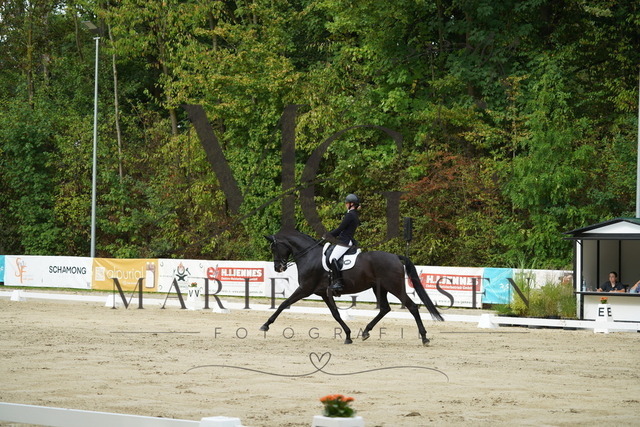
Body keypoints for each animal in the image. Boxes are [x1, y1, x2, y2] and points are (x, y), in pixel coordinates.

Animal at [261, 230, 444, 345]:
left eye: (274, 248)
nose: (278, 268)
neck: (309, 256)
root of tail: (395, 257)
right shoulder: (323, 293)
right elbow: (335, 314)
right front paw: (348, 336)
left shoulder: (305, 288)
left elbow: (284, 304)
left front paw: (266, 325)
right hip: (379, 288)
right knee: (385, 308)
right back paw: (365, 332)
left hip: (394, 286)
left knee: (412, 306)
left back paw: (424, 338)